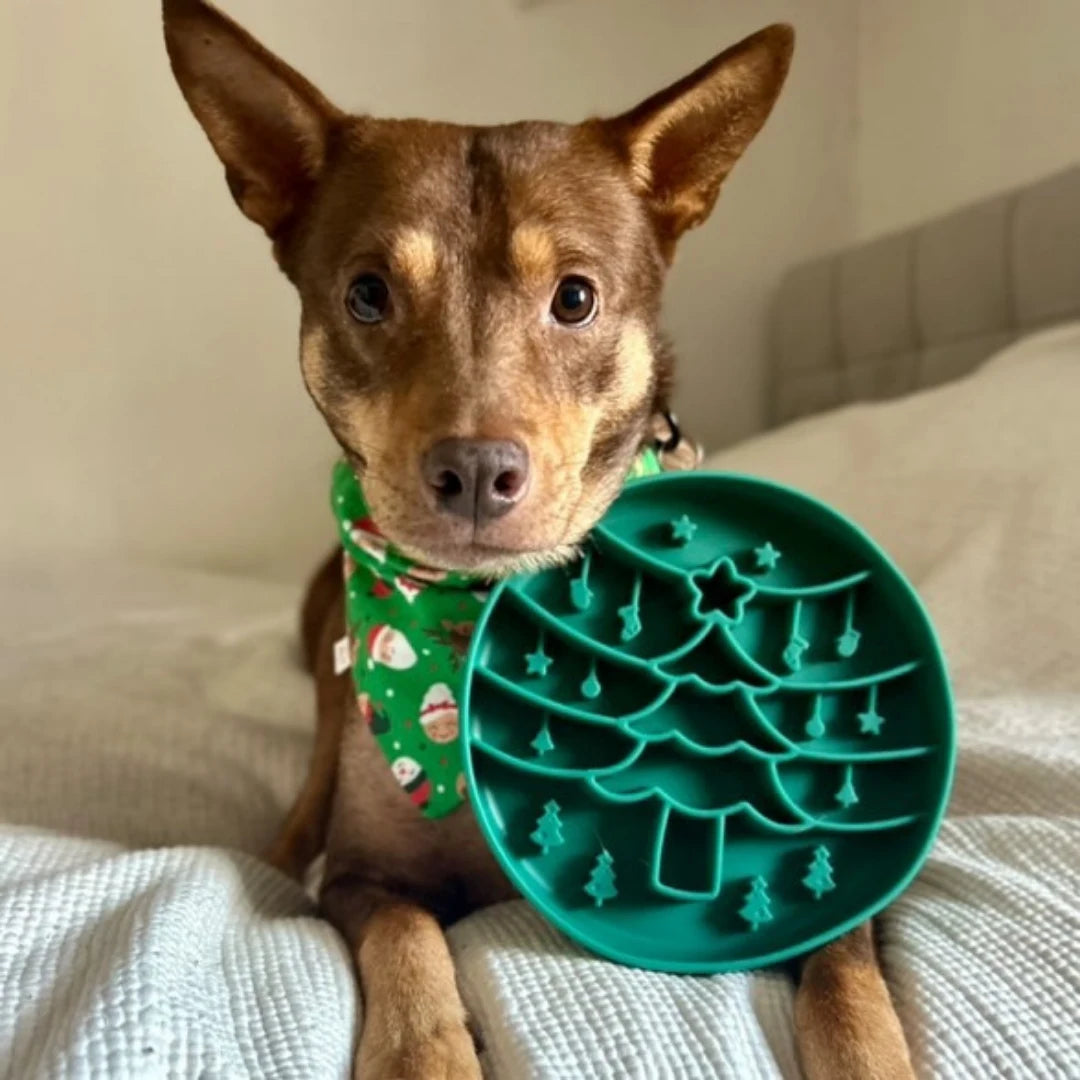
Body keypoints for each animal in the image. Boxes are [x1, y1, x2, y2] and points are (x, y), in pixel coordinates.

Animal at [164, 4, 915, 1075]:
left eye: (575, 297)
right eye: (366, 294)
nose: (476, 473)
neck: (477, 620)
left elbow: (848, 977)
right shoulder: (364, 873)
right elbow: (406, 937)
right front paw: (424, 1051)